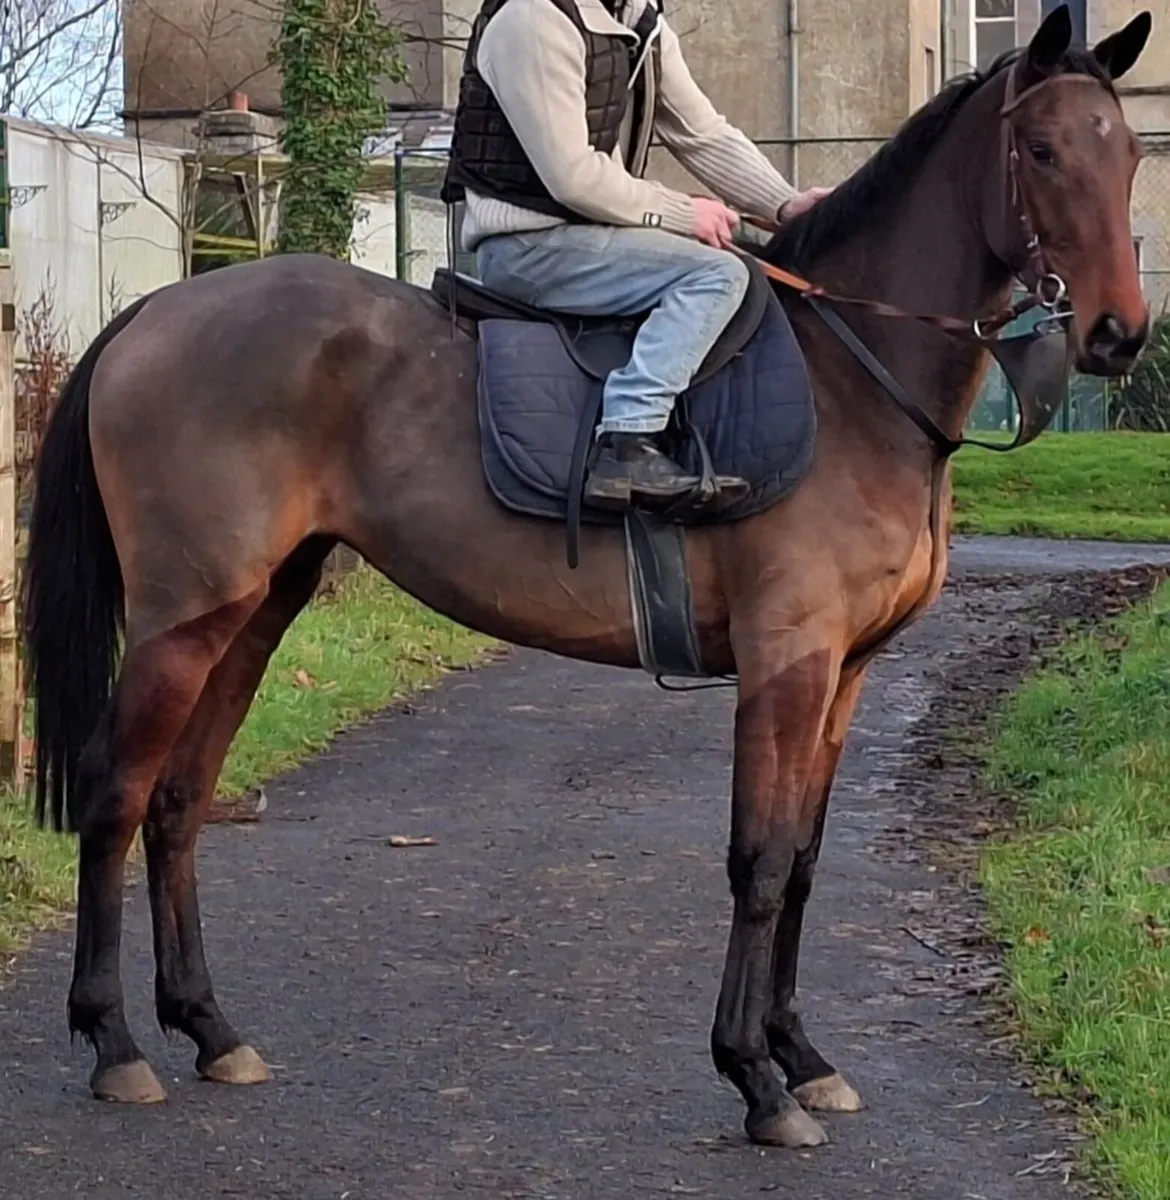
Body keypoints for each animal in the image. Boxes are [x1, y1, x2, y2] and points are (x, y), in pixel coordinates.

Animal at [21, 5, 1151, 1150]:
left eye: (1131, 154)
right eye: (1043, 150)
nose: (1118, 334)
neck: (854, 379)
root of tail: (158, 311)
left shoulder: (848, 674)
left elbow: (804, 861)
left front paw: (801, 1055)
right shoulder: (787, 662)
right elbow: (759, 860)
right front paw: (756, 1076)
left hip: (254, 612)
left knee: (178, 800)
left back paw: (209, 1028)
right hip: (183, 617)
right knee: (116, 793)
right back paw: (114, 1042)